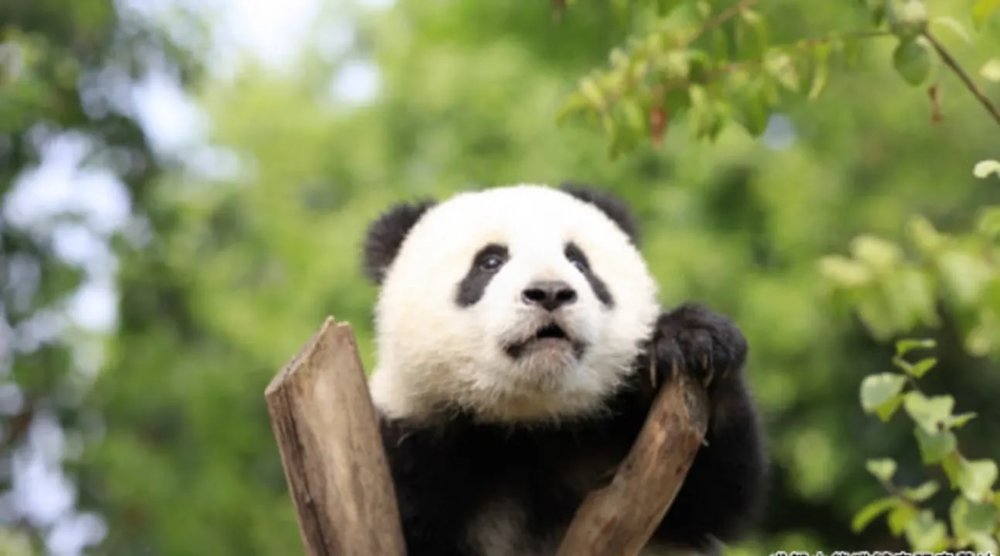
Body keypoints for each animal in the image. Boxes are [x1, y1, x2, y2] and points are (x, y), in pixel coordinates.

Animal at [362, 184, 765, 556]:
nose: (550, 292)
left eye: (578, 262)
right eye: (490, 261)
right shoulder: (414, 445)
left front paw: (693, 340)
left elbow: (716, 497)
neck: (528, 424)